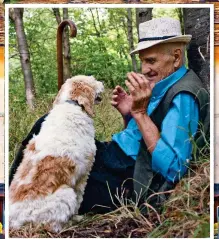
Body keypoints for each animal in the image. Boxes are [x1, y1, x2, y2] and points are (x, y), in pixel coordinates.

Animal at [9, 75, 104, 232]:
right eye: (92, 79)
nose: (102, 83)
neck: (72, 105)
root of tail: (15, 221)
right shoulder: (83, 174)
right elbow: (79, 198)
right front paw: (76, 216)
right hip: (66, 193)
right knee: (53, 226)